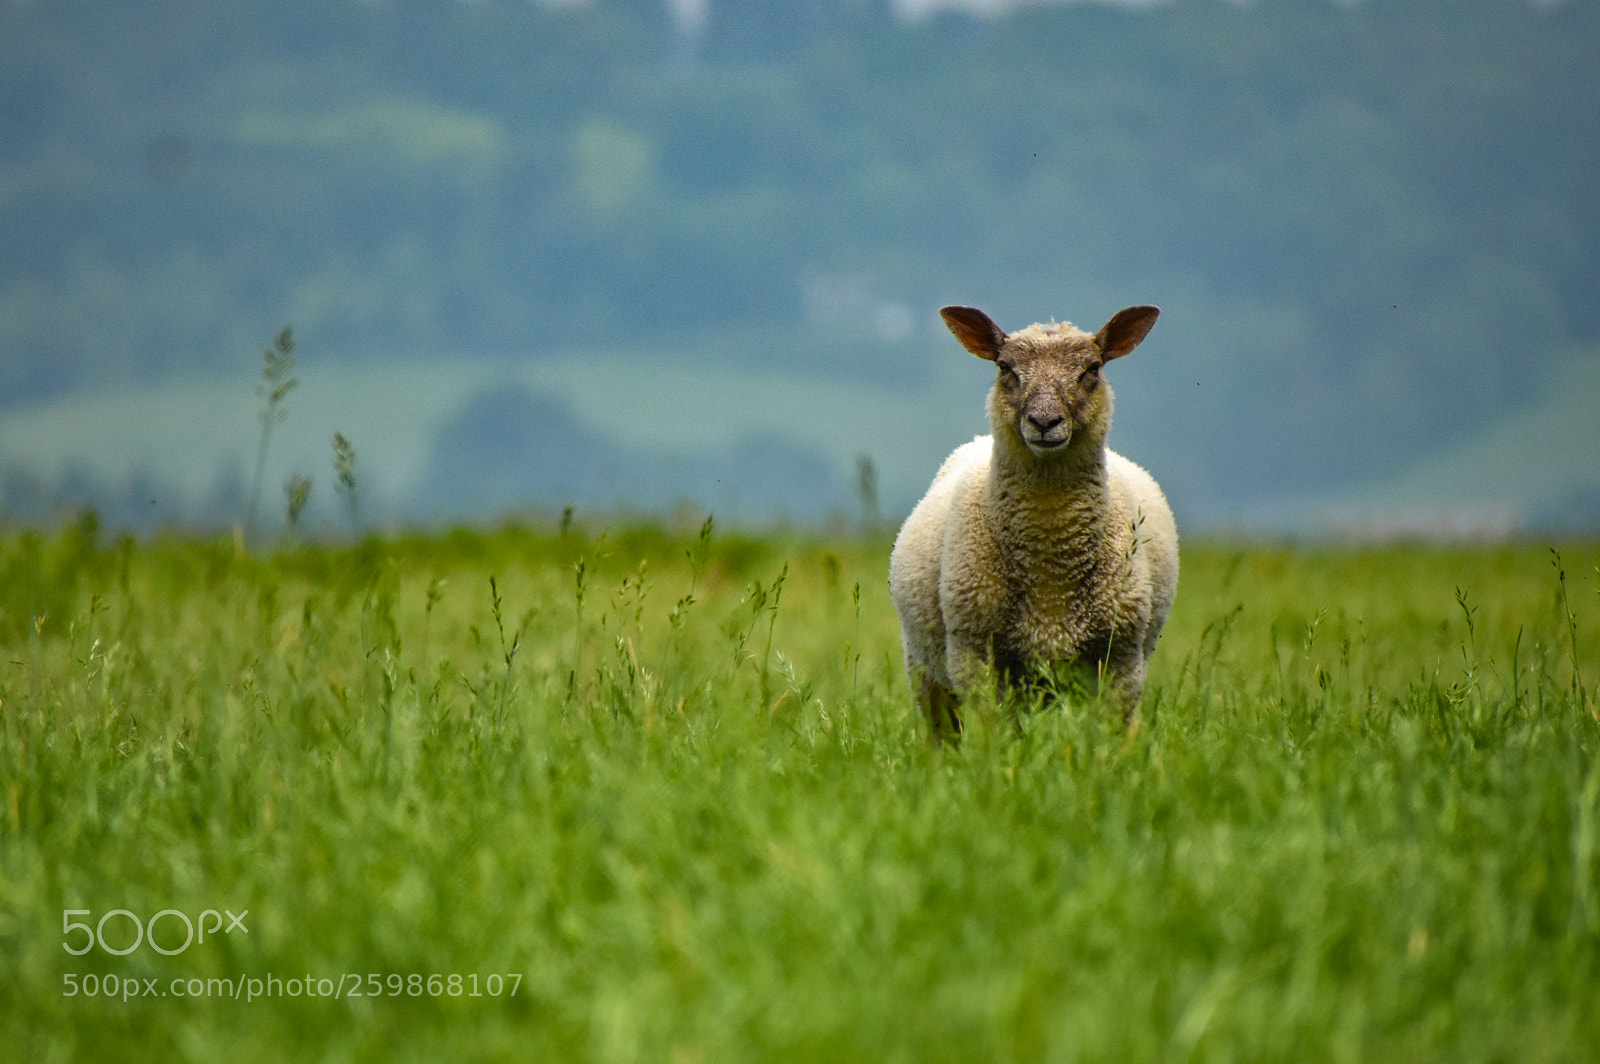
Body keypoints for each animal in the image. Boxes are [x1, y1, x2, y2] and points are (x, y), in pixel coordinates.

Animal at [888, 303, 1178, 739]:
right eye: (1005, 367)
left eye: (1092, 368)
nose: (1044, 422)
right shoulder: (974, 652)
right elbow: (993, 730)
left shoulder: (1122, 657)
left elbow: (1109, 732)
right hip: (928, 668)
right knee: (943, 732)